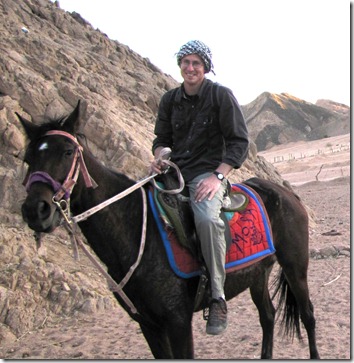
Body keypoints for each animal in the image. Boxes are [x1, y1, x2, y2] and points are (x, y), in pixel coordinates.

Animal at [16, 101, 320, 360]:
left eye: (67, 152)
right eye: (29, 157)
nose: (36, 210)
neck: (135, 230)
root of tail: (286, 192)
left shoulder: (178, 322)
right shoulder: (149, 325)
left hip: (295, 266)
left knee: (307, 314)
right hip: (257, 274)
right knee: (267, 316)